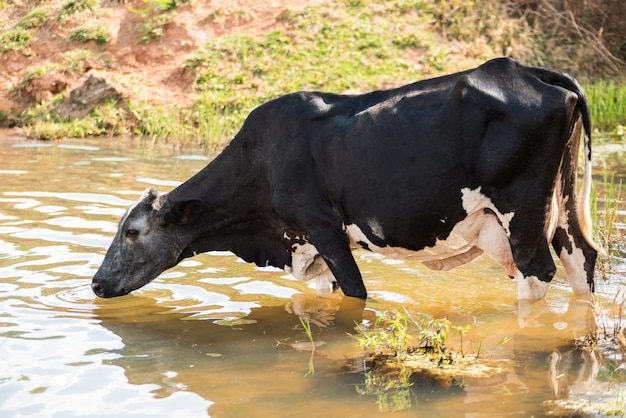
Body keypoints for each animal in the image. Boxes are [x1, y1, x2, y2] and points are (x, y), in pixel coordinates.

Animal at [91, 58, 600, 300]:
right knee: (582, 258)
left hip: (523, 213)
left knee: (536, 272)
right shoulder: (308, 246)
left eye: (132, 231)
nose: (95, 284)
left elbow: (356, 293)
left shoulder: (323, 229)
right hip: (561, 207)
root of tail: (525, 71)